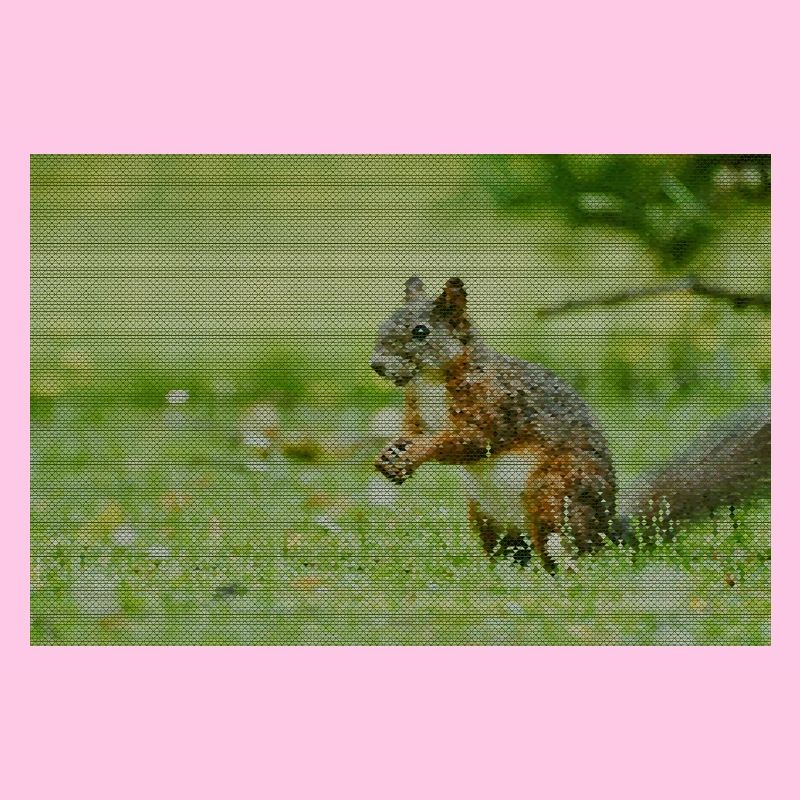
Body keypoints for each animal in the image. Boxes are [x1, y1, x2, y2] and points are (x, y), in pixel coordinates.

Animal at [370, 277, 770, 571]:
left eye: (421, 331)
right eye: (385, 322)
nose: (377, 365)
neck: (432, 381)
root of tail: (608, 530)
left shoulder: (496, 403)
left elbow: (470, 440)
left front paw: (417, 453)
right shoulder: (418, 410)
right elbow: (413, 431)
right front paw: (391, 452)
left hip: (554, 494)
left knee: (568, 549)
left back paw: (563, 574)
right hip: (486, 517)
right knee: (514, 552)